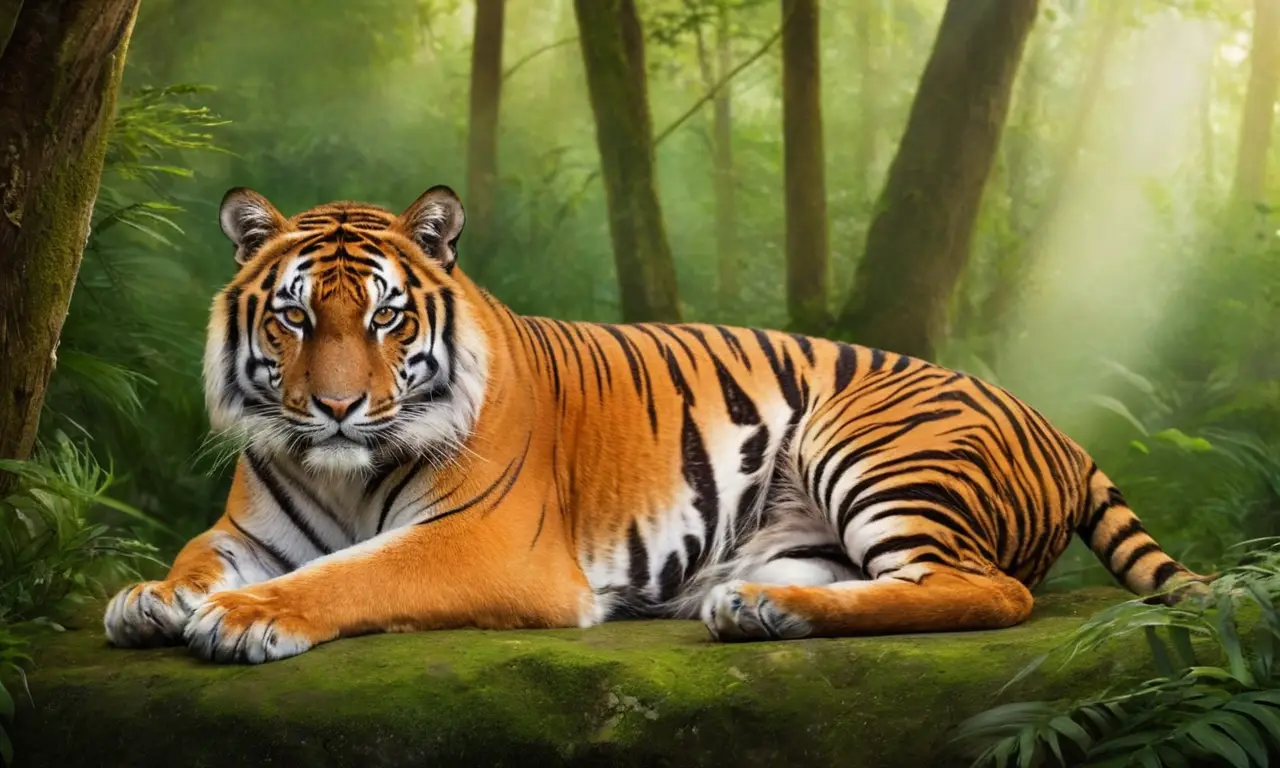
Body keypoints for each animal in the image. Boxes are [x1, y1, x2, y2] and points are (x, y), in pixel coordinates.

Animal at [103, 184, 1209, 664]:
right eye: (295, 316)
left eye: (385, 316)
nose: (334, 406)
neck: (335, 466)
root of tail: (1061, 429)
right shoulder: (247, 529)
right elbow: (198, 557)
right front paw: (149, 599)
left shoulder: (485, 545)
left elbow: (353, 574)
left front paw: (244, 618)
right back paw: (758, 609)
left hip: (868, 441)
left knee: (982, 592)